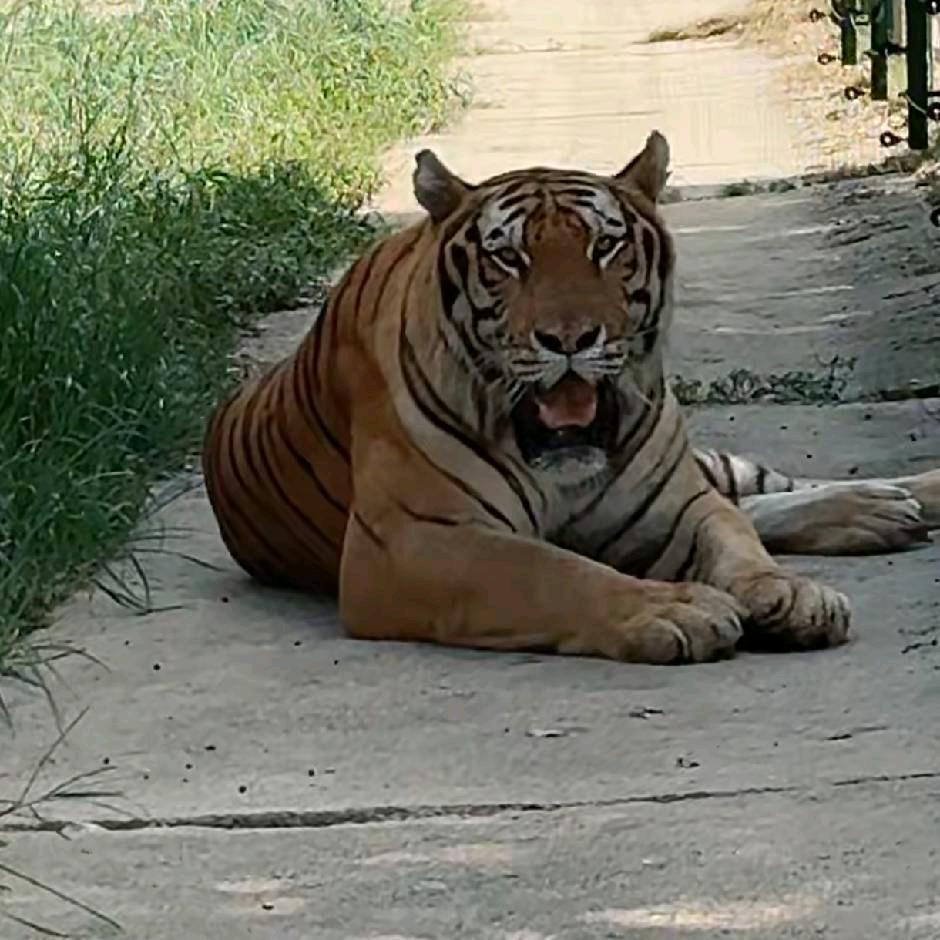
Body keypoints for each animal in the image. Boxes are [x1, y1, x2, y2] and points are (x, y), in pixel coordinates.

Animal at [201, 130, 940, 665]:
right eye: (508, 258)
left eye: (606, 247)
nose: (569, 338)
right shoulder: (412, 540)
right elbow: (552, 572)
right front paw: (675, 608)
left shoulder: (678, 504)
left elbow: (738, 541)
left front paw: (788, 593)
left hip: (704, 466)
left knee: (756, 490)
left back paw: (891, 503)